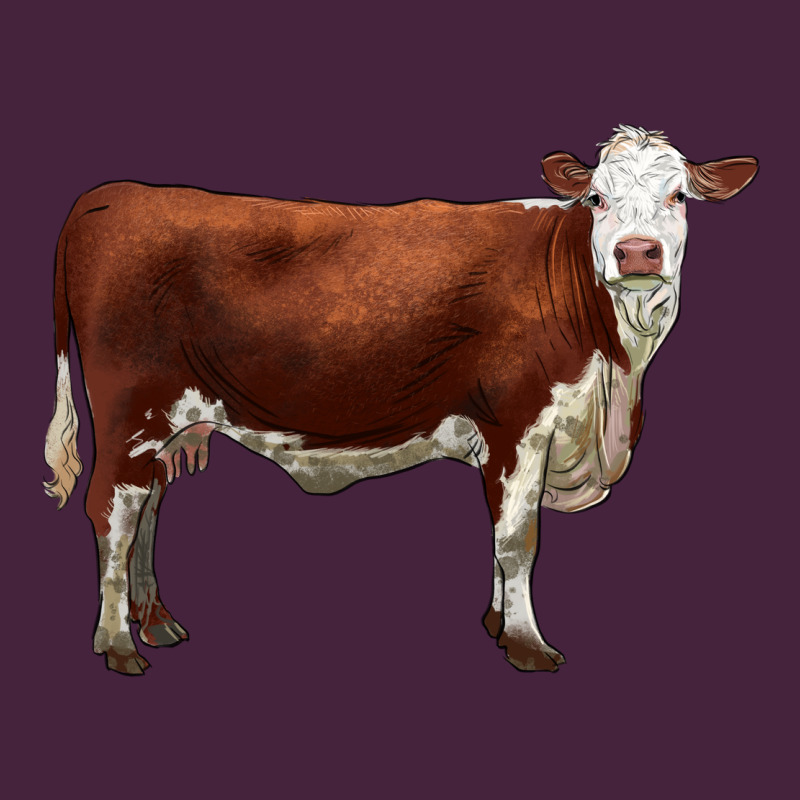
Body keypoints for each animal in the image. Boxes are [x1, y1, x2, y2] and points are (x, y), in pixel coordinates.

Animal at [44, 126, 757, 675]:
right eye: (598, 198)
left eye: (678, 196)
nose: (637, 253)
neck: (612, 383)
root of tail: (111, 194)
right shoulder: (519, 422)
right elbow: (518, 538)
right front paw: (526, 645)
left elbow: (499, 532)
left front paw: (496, 622)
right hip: (130, 411)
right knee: (112, 511)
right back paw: (118, 644)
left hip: (168, 423)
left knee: (147, 508)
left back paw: (156, 621)